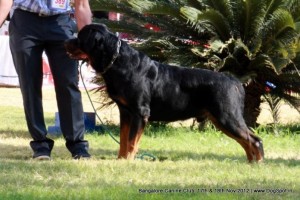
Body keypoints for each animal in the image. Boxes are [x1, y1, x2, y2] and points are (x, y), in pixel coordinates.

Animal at [64, 23, 264, 162]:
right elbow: (123, 139)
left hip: (227, 116)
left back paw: (258, 163)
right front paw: (120, 160)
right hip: (220, 118)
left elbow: (131, 142)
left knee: (254, 140)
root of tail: (235, 81)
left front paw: (128, 161)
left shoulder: (140, 112)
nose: (65, 41)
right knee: (246, 141)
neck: (117, 61)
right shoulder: (125, 112)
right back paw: (251, 162)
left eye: (80, 37)